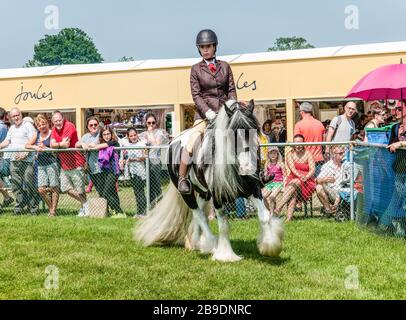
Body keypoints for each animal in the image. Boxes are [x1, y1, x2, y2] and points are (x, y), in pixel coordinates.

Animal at [135, 100, 284, 262]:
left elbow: (264, 216)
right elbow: (223, 225)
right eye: (232, 135)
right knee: (198, 214)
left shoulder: (253, 189)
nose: (247, 168)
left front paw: (271, 247)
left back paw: (196, 242)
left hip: (203, 193)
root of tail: (173, 141)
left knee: (199, 214)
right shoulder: (218, 196)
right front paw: (226, 255)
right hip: (186, 193)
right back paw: (210, 245)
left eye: (253, 132)